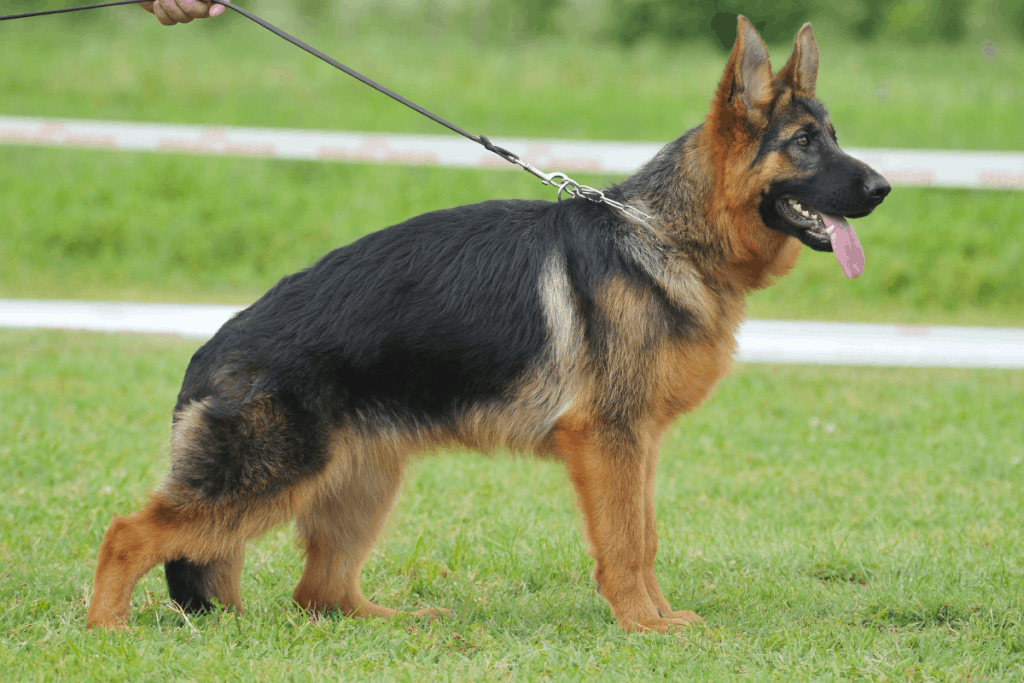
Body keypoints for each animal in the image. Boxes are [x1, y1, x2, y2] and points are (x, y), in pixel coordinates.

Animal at [88, 15, 888, 634]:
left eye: (834, 135)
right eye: (804, 143)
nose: (884, 186)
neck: (668, 234)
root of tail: (210, 349)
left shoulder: (637, 445)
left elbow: (646, 534)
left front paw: (658, 617)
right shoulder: (610, 441)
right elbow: (627, 542)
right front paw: (643, 624)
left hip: (362, 483)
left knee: (319, 594)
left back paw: (397, 621)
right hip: (271, 477)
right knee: (129, 533)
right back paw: (107, 628)